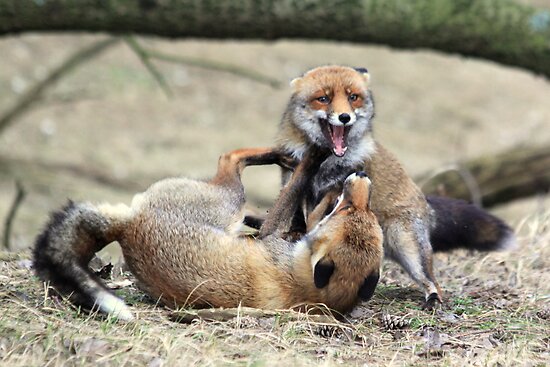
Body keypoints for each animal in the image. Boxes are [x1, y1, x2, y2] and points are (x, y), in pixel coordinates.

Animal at [33, 147, 384, 322]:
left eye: (345, 210)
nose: (361, 174)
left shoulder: (273, 238)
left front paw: (315, 162)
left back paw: (291, 154)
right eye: (356, 210)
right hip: (231, 207)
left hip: (228, 202)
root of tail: (129, 224)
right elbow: (299, 212)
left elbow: (291, 208)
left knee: (230, 158)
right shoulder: (282, 235)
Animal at [272, 65, 516, 308]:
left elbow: (319, 219)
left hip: (409, 248)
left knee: (432, 281)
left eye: (353, 97)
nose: (344, 117)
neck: (325, 163)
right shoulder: (294, 180)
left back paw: (433, 300)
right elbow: (300, 218)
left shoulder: (336, 191)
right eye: (323, 98)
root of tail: (426, 206)